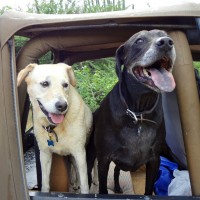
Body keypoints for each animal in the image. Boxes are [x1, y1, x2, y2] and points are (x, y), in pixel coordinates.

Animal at [87, 28, 177, 195]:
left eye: (165, 34)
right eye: (139, 40)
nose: (167, 42)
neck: (138, 114)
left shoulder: (154, 160)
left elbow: (148, 188)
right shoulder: (104, 159)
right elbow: (102, 187)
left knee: (116, 171)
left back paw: (117, 187)